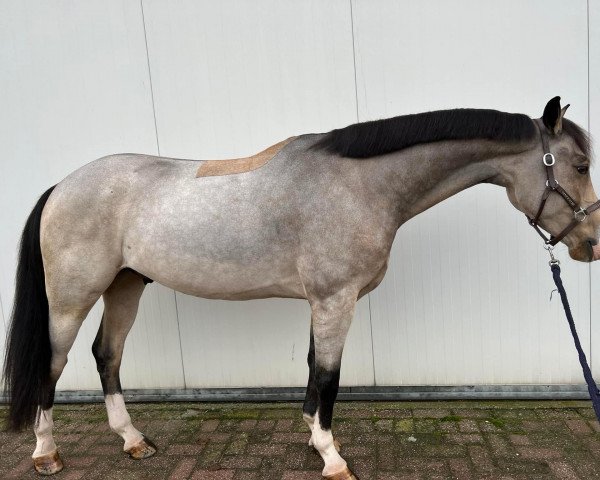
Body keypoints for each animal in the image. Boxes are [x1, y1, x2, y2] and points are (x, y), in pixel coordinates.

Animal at [2, 95, 596, 478]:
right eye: (581, 163)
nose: (590, 243)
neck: (358, 184)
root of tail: (63, 185)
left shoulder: (322, 301)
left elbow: (313, 368)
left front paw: (314, 438)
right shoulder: (336, 299)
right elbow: (329, 375)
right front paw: (332, 458)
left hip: (127, 285)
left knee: (107, 355)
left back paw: (132, 441)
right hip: (72, 297)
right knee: (54, 364)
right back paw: (46, 453)